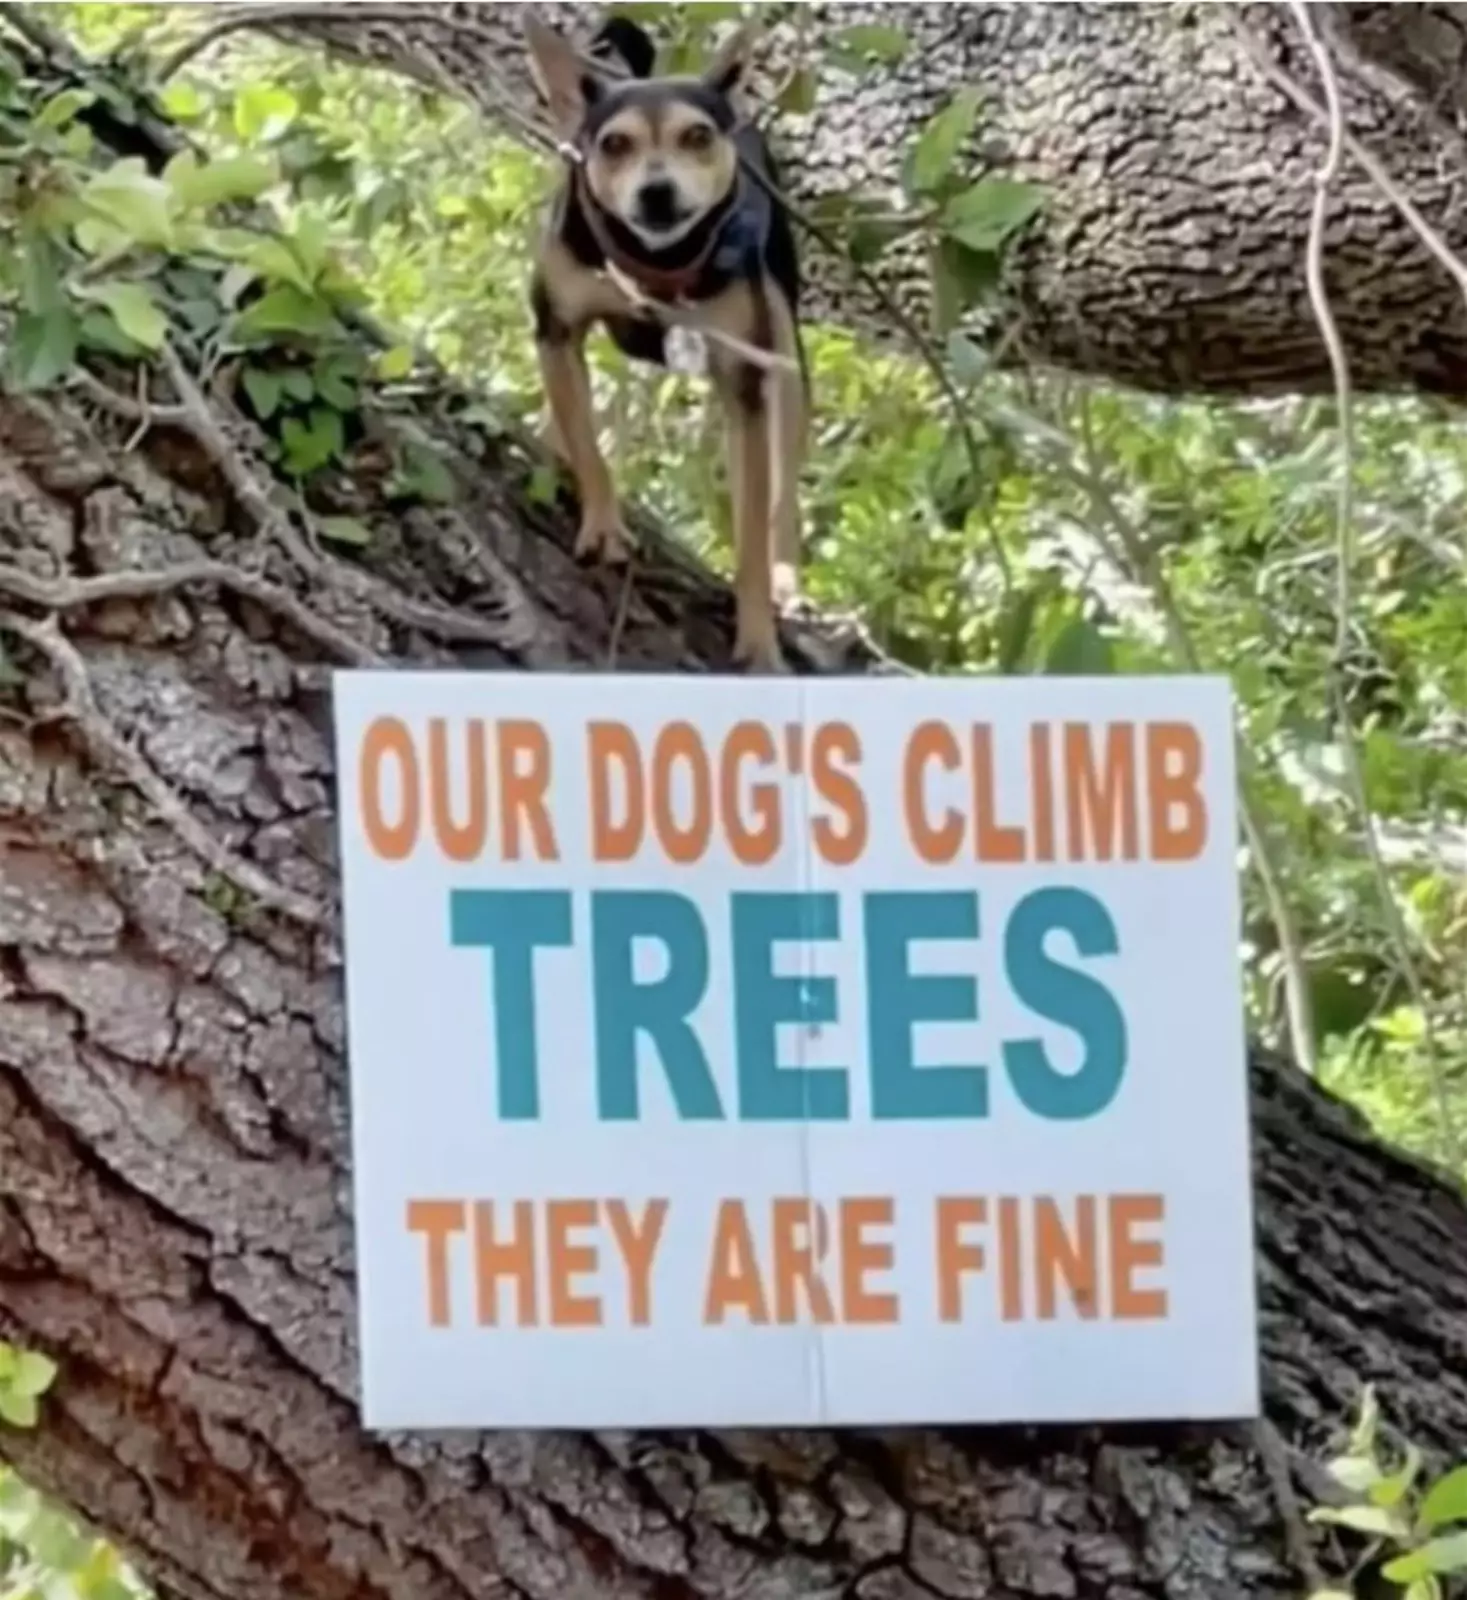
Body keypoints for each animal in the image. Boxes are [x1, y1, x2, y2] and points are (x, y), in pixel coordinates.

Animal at [524, 7, 806, 668]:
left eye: (697, 137)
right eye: (614, 144)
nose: (657, 191)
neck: (657, 265)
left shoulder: (744, 383)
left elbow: (751, 531)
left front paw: (759, 637)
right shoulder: (558, 329)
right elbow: (588, 443)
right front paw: (602, 525)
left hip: (784, 347)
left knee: (783, 487)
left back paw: (786, 577)